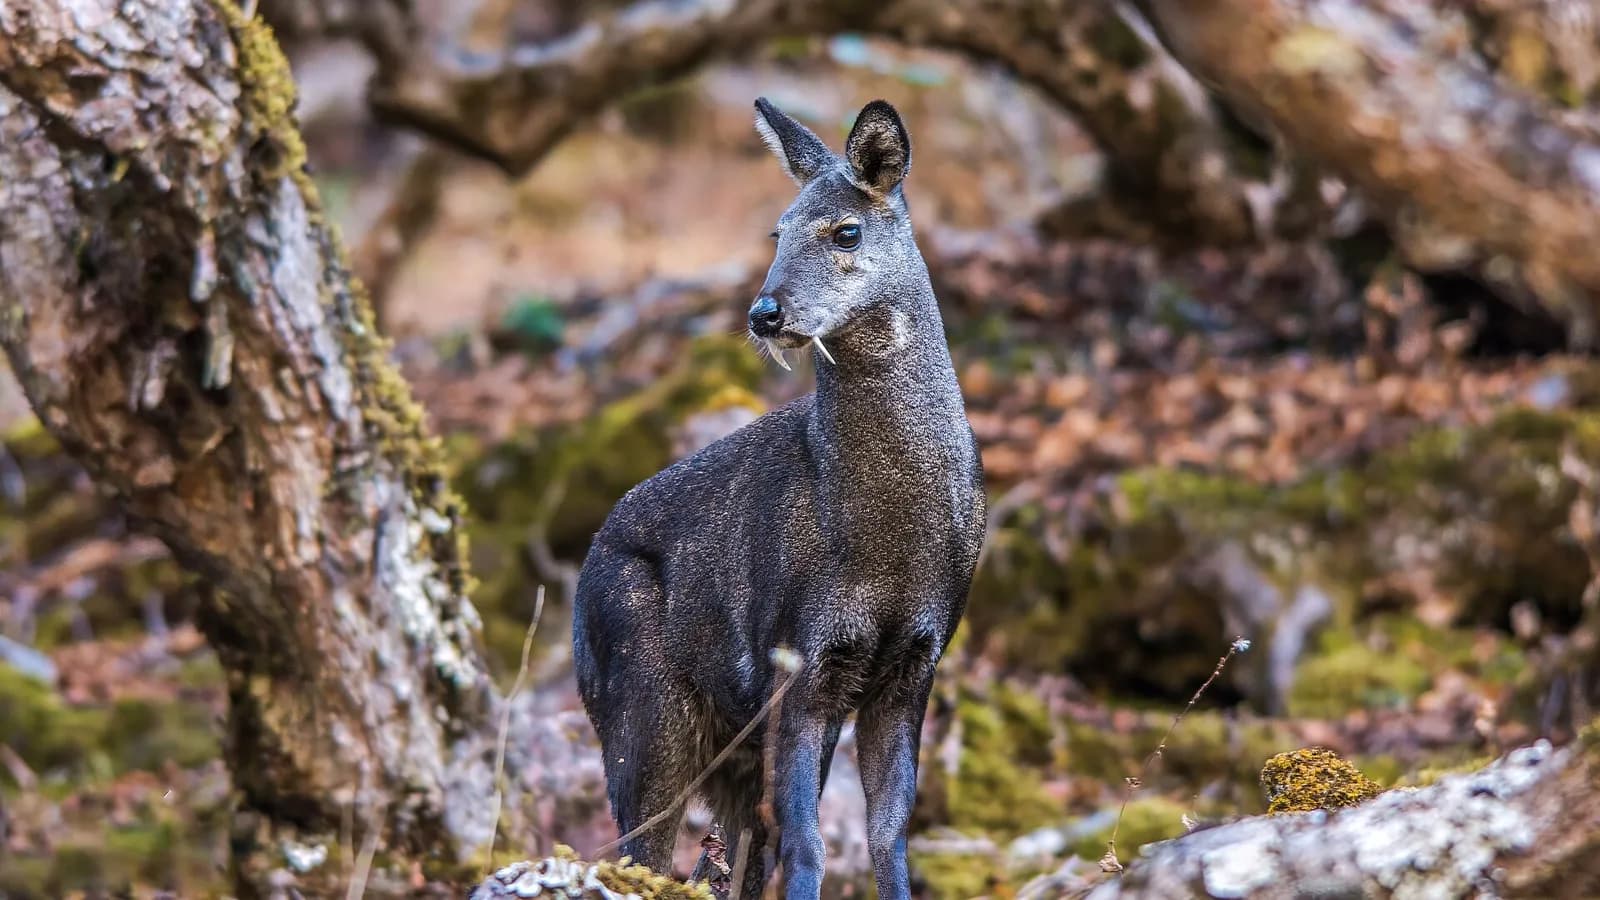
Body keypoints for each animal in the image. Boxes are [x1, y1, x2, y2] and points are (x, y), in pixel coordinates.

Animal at [573, 97, 986, 900]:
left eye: (846, 230)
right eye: (777, 230)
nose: (764, 313)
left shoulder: (916, 663)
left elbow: (889, 836)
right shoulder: (795, 656)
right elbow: (808, 842)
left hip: (723, 744)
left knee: (727, 850)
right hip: (640, 701)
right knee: (640, 849)